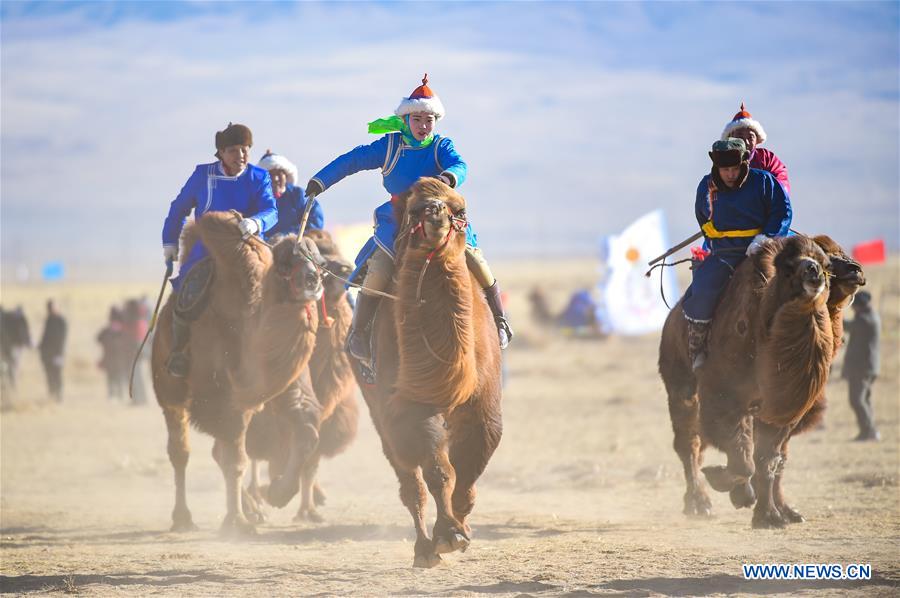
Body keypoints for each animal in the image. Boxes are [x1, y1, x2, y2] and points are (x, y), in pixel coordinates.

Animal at [150, 211, 324, 536]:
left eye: (318, 260)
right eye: (285, 264)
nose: (313, 279)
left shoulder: (279, 385)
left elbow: (307, 430)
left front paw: (278, 493)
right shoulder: (222, 398)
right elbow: (235, 461)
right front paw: (237, 522)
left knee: (219, 450)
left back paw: (255, 508)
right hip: (169, 391)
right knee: (181, 451)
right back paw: (184, 517)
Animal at [246, 232, 362, 524]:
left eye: (324, 260)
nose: (348, 268)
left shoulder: (323, 408)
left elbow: (309, 458)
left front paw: (307, 509)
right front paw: (267, 496)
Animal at [352, 177, 506, 568]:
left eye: (459, 209)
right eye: (413, 209)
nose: (435, 211)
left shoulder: (483, 409)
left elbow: (469, 470)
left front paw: (459, 526)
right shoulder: (411, 405)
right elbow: (439, 471)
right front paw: (447, 535)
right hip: (377, 407)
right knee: (410, 482)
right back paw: (423, 548)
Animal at [660, 234, 864, 528]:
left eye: (828, 263)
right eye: (787, 266)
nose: (854, 270)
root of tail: (672, 316)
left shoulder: (782, 413)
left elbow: (769, 460)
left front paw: (773, 514)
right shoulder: (726, 397)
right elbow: (744, 458)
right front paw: (737, 492)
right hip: (682, 389)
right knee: (689, 444)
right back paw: (699, 504)